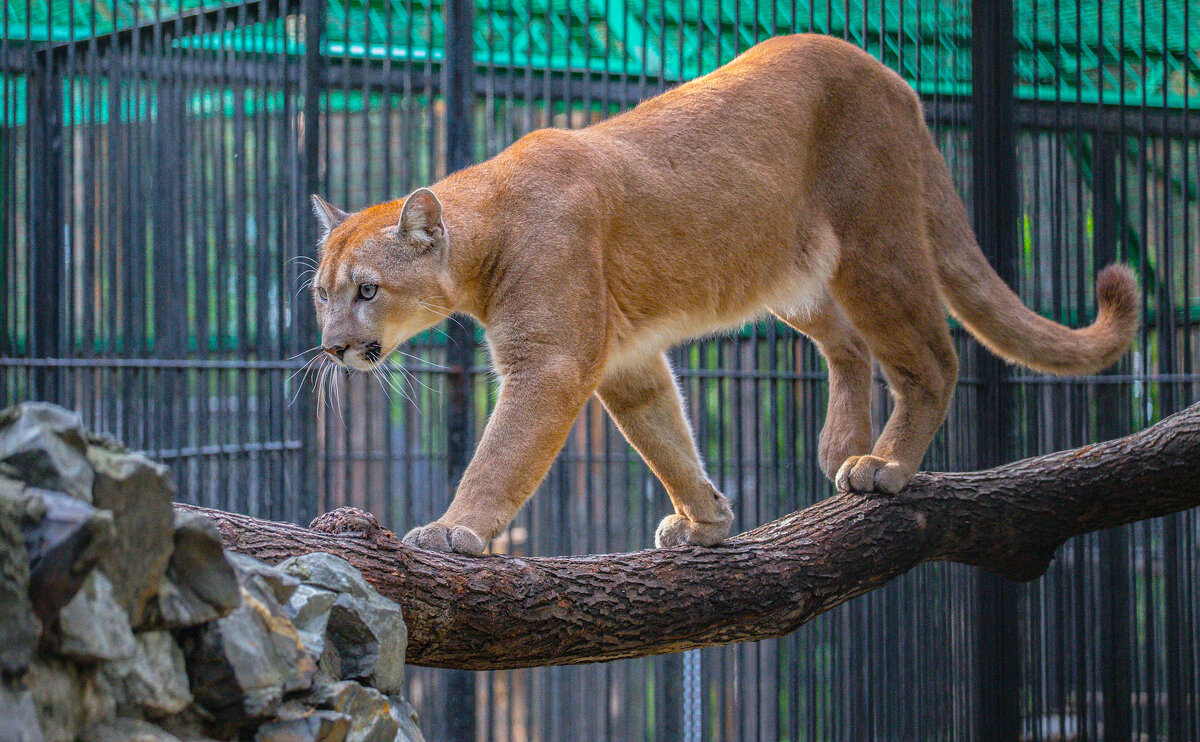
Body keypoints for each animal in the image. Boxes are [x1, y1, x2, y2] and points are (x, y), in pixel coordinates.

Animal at [307, 34, 1132, 554]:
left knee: (932, 357)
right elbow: (665, 435)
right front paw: (706, 517)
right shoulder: (626, 362)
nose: (334, 347)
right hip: (791, 277)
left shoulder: (551, 362)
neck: (483, 234)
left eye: (368, 290)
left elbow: (503, 453)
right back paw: (842, 444)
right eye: (321, 294)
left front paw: (456, 530)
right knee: (849, 343)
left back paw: (885, 466)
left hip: (874, 246)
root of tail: (894, 78)